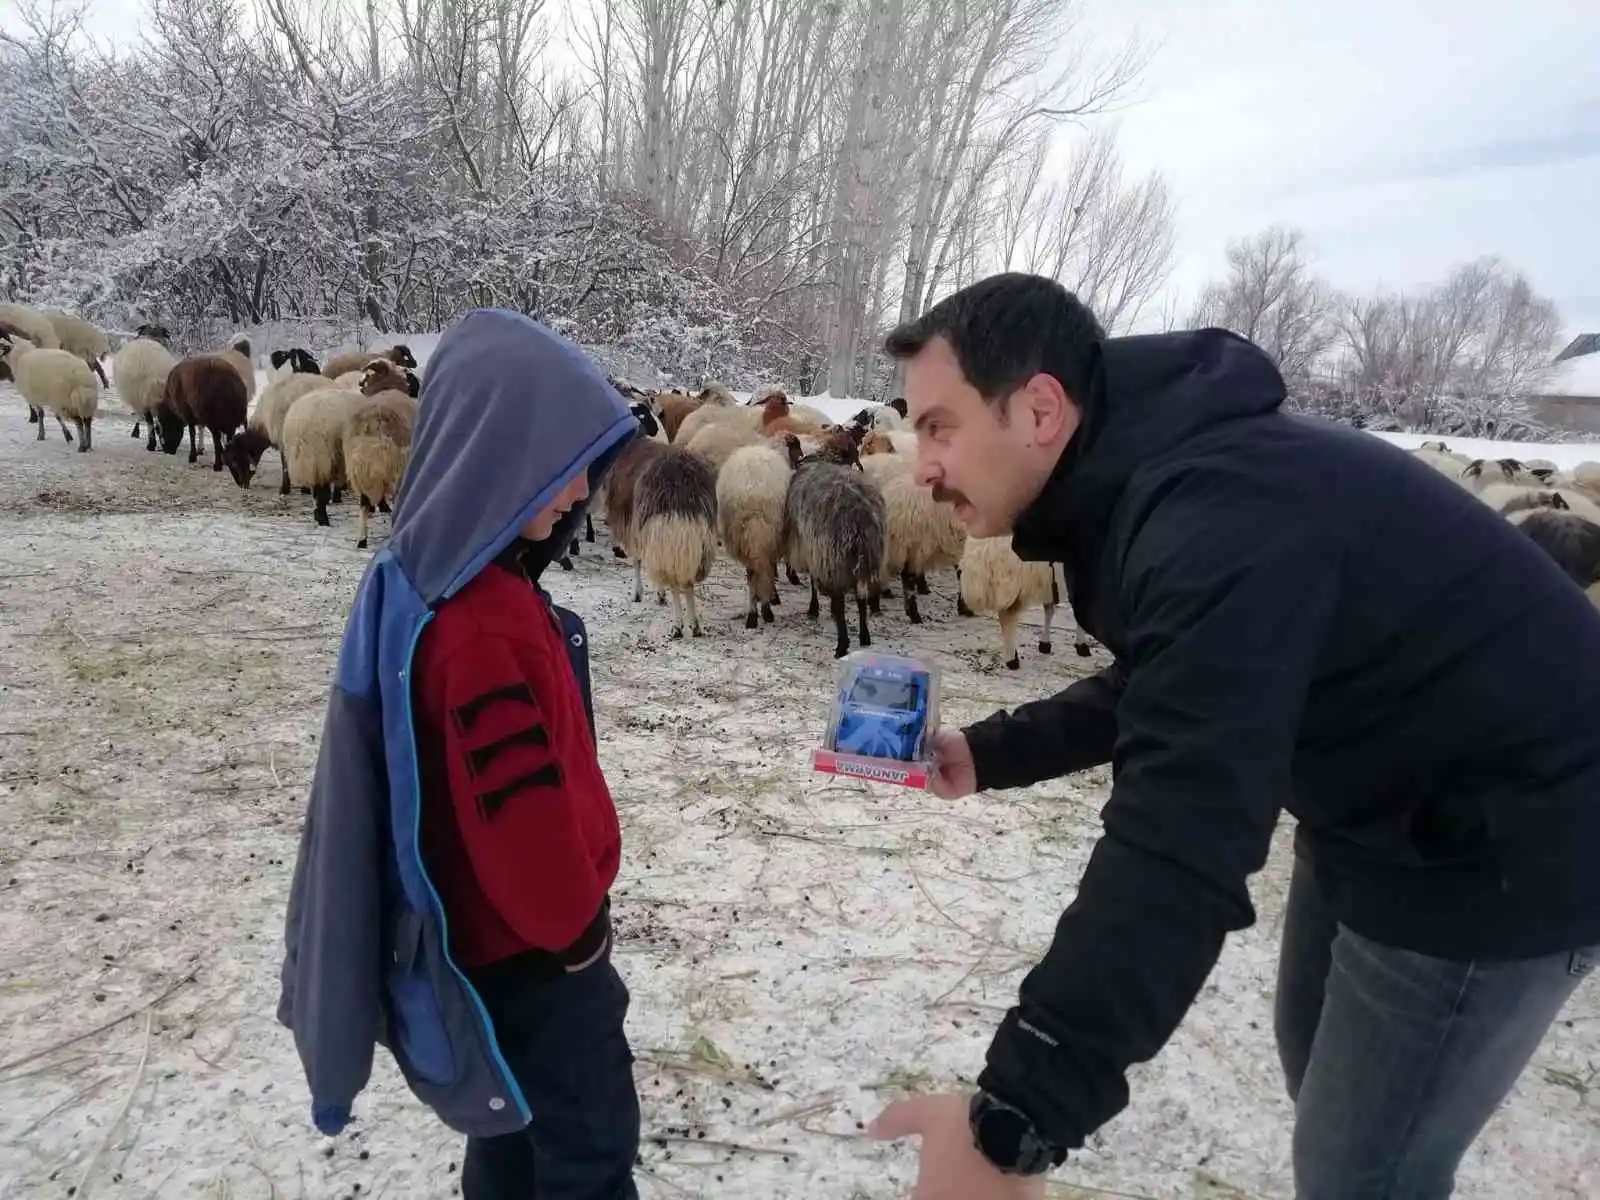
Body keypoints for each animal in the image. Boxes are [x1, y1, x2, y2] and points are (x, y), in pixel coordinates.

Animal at [286, 390, 366, 524]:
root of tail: (302, 422)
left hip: (313, 459)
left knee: (318, 491)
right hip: (322, 457)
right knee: (321, 492)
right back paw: (323, 520)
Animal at [777, 448, 889, 662]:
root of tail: (859, 513)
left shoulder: (813, 550)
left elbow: (814, 582)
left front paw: (813, 609)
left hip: (833, 556)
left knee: (840, 603)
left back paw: (841, 645)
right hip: (862, 557)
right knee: (861, 598)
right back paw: (864, 637)